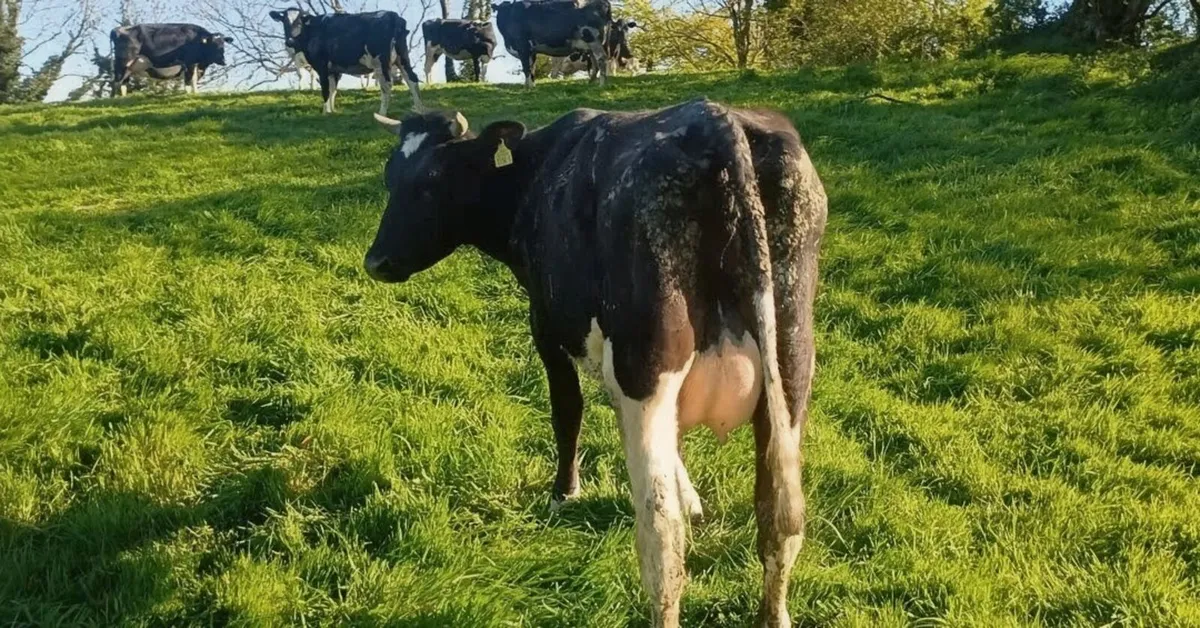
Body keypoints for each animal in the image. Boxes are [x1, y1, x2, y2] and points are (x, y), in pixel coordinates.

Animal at [268, 8, 421, 115]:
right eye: (284, 21)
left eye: (300, 21)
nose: (290, 41)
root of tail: (394, 16)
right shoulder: (334, 69)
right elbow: (333, 89)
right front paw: (332, 111)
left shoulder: (321, 65)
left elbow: (325, 89)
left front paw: (325, 112)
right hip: (402, 58)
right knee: (412, 79)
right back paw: (420, 109)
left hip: (381, 61)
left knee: (387, 85)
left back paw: (382, 113)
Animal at [362, 99, 827, 627]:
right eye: (391, 176)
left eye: (433, 179)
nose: (376, 262)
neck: (534, 173)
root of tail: (716, 119)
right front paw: (691, 495)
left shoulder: (547, 327)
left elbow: (568, 412)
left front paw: (563, 493)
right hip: (790, 361)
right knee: (780, 518)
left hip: (645, 364)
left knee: (661, 533)